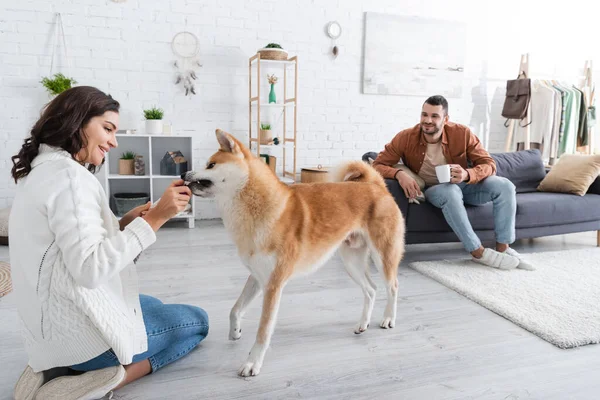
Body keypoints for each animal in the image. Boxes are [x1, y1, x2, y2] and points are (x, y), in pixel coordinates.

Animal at [183, 130, 406, 376]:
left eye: (211, 165)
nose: (184, 173)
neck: (257, 207)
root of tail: (376, 185)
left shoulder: (273, 285)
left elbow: (263, 331)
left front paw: (252, 363)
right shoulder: (257, 277)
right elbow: (235, 309)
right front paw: (235, 332)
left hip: (383, 255)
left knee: (392, 286)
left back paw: (388, 318)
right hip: (351, 261)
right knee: (371, 290)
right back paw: (363, 324)